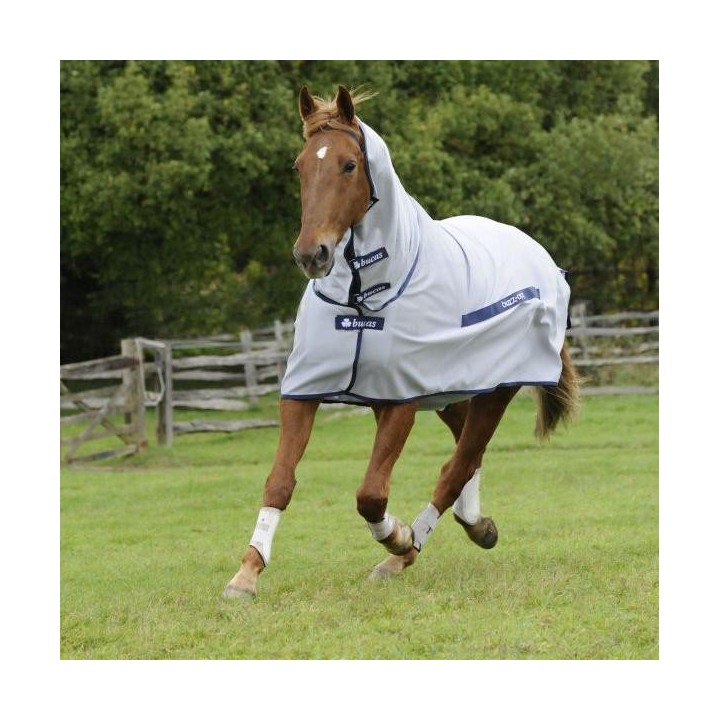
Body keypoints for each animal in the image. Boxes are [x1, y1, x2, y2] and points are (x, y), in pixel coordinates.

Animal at [224, 85, 579, 599]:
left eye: (350, 165)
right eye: (299, 165)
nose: (312, 254)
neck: (363, 296)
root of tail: (543, 260)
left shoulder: (401, 401)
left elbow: (371, 495)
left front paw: (399, 537)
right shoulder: (308, 391)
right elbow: (279, 482)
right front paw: (246, 574)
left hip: (495, 390)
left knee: (458, 465)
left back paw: (405, 553)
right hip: (451, 389)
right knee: (466, 456)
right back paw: (476, 525)